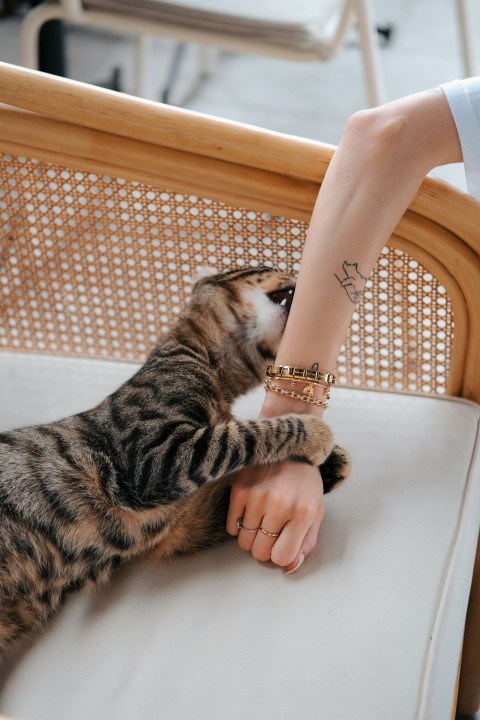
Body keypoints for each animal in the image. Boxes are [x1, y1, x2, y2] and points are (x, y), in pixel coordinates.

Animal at [1, 268, 350, 656]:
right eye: (266, 267)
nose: (295, 269)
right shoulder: (152, 456)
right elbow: (241, 435)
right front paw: (315, 435)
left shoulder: (185, 522)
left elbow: (233, 496)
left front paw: (331, 467)